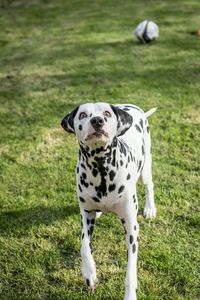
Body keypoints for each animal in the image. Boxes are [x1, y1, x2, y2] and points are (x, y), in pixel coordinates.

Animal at [61, 103, 156, 300]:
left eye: (106, 113)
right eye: (82, 115)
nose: (97, 120)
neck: (100, 167)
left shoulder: (131, 227)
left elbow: (130, 272)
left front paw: (130, 295)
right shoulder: (86, 215)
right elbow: (84, 246)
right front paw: (89, 273)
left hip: (145, 168)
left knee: (149, 184)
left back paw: (150, 209)